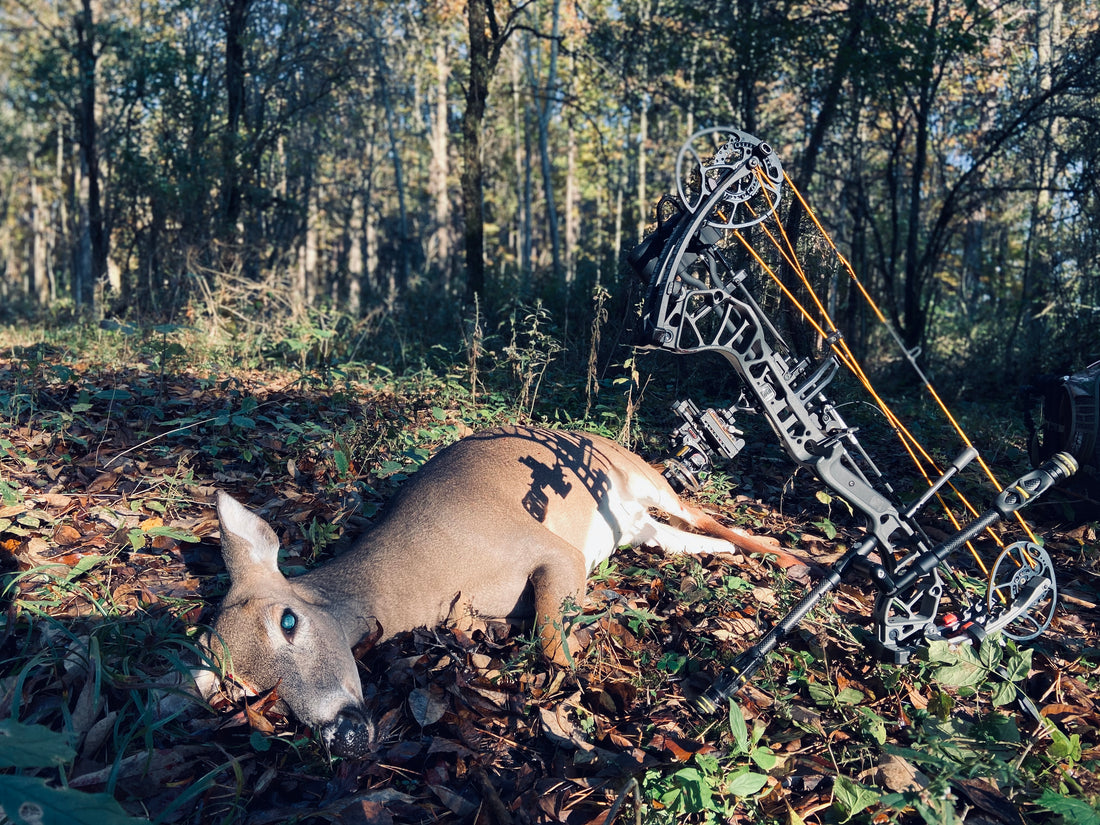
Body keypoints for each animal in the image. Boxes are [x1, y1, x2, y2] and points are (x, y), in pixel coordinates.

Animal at [202, 429, 805, 761]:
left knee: (702, 512)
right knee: (680, 536)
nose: (341, 736)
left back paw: (792, 558)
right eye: (243, 689)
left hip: (645, 478)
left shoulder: (555, 550)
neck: (427, 576)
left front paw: (582, 714)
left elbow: (551, 643)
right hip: (636, 527)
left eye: (288, 621)